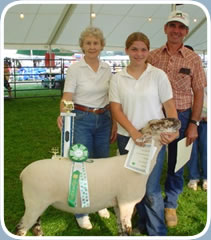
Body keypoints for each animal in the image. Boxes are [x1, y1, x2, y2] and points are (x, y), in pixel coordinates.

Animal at [15, 117, 180, 235]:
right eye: (156, 125)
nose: (177, 120)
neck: (134, 169)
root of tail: (24, 173)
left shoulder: (117, 204)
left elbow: (121, 231)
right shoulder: (126, 203)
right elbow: (126, 230)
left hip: (38, 205)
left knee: (36, 225)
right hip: (34, 203)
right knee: (21, 228)